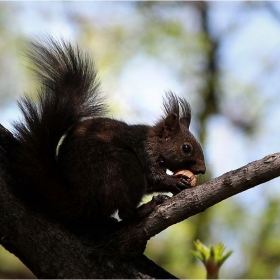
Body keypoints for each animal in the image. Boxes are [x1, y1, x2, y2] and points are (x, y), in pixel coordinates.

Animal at [10, 38, 206, 229]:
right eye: (186, 148)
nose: (202, 170)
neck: (155, 141)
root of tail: (82, 198)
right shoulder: (145, 149)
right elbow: (153, 176)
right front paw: (174, 182)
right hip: (120, 168)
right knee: (126, 213)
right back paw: (147, 207)